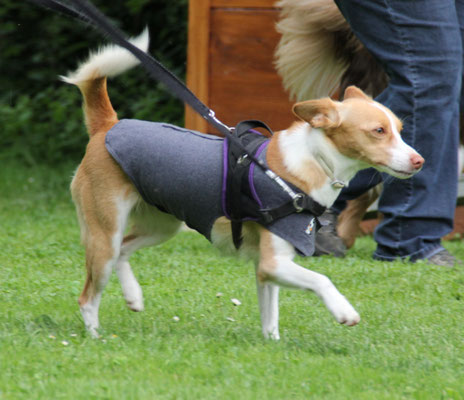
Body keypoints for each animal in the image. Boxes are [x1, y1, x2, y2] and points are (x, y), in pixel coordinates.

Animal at [64, 30, 424, 340]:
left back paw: (133, 296)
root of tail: (108, 126)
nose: (419, 160)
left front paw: (272, 345)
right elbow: (322, 279)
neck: (314, 160)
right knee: (88, 295)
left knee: (124, 250)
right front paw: (343, 311)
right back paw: (96, 337)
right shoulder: (273, 262)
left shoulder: (268, 268)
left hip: (161, 226)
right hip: (104, 234)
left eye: (399, 129)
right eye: (378, 131)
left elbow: (270, 317)